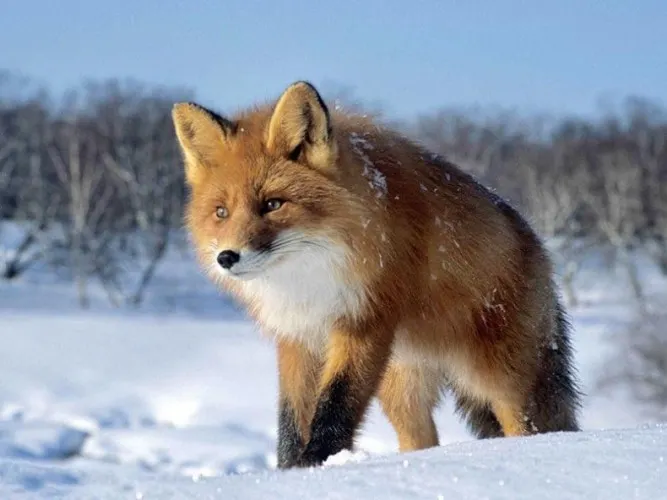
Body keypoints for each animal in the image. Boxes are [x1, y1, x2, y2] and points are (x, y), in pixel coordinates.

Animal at [171, 81, 581, 469]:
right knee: (421, 438)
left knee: (529, 428)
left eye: (272, 204)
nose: (227, 257)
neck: (309, 279)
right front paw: (288, 471)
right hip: (402, 389)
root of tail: (538, 247)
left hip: (501, 384)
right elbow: (290, 419)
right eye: (221, 212)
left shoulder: (364, 321)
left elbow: (336, 403)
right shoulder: (298, 336)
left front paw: (317, 463)